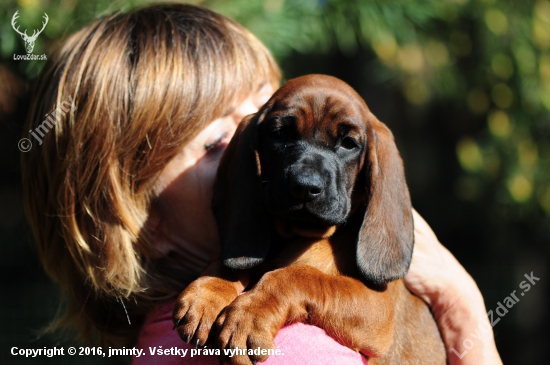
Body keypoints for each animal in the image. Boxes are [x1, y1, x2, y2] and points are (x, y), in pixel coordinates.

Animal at [175, 74, 446, 364]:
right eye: (280, 134)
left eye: (349, 143)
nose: (305, 186)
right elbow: (233, 261)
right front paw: (208, 290)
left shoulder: (379, 310)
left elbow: (298, 277)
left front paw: (248, 314)